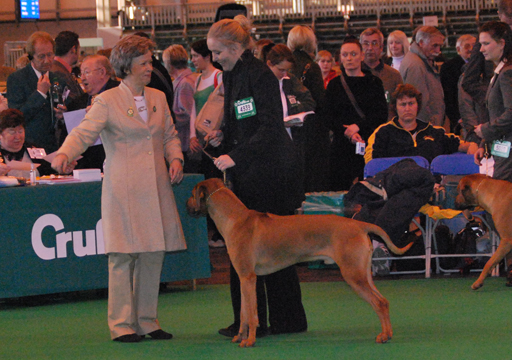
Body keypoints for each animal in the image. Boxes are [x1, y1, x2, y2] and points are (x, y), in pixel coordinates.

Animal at [186, 179, 414, 348]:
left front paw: (249, 340)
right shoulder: (244, 278)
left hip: (353, 274)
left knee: (378, 302)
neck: (234, 218)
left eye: (191, 193)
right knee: (383, 301)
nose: (186, 206)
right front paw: (239, 336)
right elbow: (243, 313)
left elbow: (251, 314)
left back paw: (384, 336)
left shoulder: (249, 278)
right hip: (362, 272)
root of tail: (358, 224)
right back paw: (387, 334)